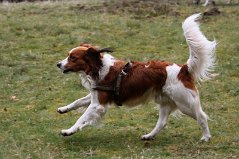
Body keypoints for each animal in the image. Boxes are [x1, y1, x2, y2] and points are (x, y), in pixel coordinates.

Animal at [56, 13, 217, 141]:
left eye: (72, 58)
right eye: (68, 55)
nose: (58, 64)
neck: (99, 67)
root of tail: (183, 69)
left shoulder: (98, 105)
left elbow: (82, 118)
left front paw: (69, 131)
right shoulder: (97, 95)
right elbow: (77, 102)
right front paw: (64, 109)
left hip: (184, 102)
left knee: (202, 117)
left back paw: (206, 137)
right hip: (166, 101)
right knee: (162, 123)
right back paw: (149, 136)